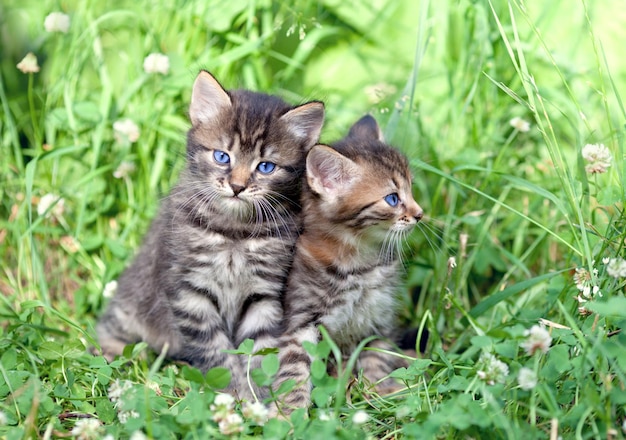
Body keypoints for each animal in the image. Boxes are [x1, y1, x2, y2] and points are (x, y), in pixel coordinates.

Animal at [97, 70, 324, 398]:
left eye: (265, 167)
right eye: (222, 157)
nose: (238, 187)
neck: (235, 232)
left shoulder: (263, 293)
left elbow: (260, 348)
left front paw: (259, 396)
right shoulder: (190, 290)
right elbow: (214, 350)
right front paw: (233, 392)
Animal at [270, 114, 422, 412]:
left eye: (411, 190)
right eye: (393, 199)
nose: (420, 214)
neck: (360, 264)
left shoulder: (378, 317)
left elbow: (377, 355)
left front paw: (380, 389)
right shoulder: (301, 319)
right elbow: (294, 367)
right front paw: (289, 412)